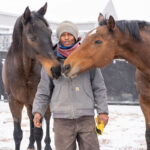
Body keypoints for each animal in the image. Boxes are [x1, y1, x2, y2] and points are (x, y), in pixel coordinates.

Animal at [1, 2, 60, 150]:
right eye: (31, 37)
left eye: (50, 33)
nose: (56, 69)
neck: (24, 71)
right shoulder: (14, 101)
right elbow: (17, 134)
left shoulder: (37, 98)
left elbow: (39, 132)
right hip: (28, 103)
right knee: (31, 119)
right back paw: (30, 144)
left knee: (47, 119)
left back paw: (47, 145)